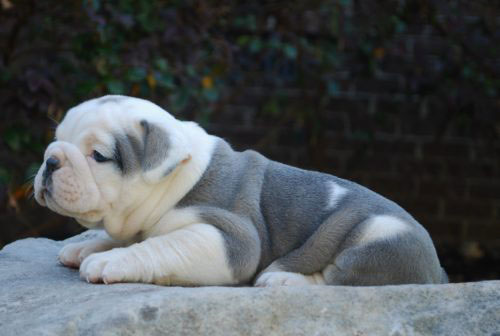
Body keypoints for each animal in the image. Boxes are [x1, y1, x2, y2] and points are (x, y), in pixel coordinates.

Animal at [33, 96, 448, 288]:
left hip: (383, 236)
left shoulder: (227, 237)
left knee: (340, 279)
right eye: (57, 139)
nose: (50, 161)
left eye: (99, 156)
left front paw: (109, 260)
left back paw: (284, 279)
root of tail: (439, 271)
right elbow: (132, 237)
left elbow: (159, 246)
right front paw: (88, 246)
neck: (178, 178)